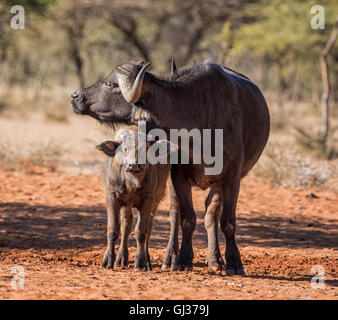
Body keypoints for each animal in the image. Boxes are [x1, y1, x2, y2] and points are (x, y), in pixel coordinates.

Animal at [71, 58, 270, 274]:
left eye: (110, 84)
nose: (75, 96)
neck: (201, 117)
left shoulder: (233, 175)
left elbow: (227, 221)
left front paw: (234, 263)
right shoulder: (178, 174)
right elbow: (187, 219)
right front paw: (183, 259)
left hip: (218, 182)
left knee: (211, 214)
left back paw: (215, 260)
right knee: (176, 214)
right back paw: (170, 258)